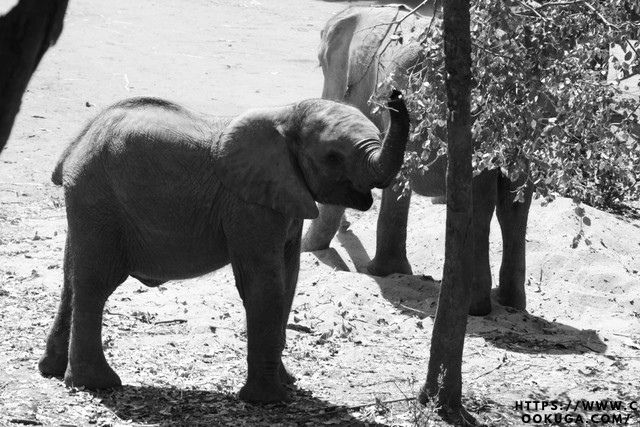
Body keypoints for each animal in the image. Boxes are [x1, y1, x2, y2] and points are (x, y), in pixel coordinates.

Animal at [40, 92, 410, 402]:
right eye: (333, 157)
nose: (395, 94)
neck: (287, 114)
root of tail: (76, 144)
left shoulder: (284, 199)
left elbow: (289, 281)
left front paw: (288, 384)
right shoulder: (247, 206)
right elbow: (265, 285)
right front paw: (270, 400)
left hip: (89, 203)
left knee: (71, 278)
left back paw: (53, 371)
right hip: (98, 199)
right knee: (96, 283)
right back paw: (97, 384)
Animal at [302, 5, 532, 316]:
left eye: (321, 63)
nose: (347, 227)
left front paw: (381, 272)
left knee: (480, 198)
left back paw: (475, 307)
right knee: (514, 202)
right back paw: (509, 304)